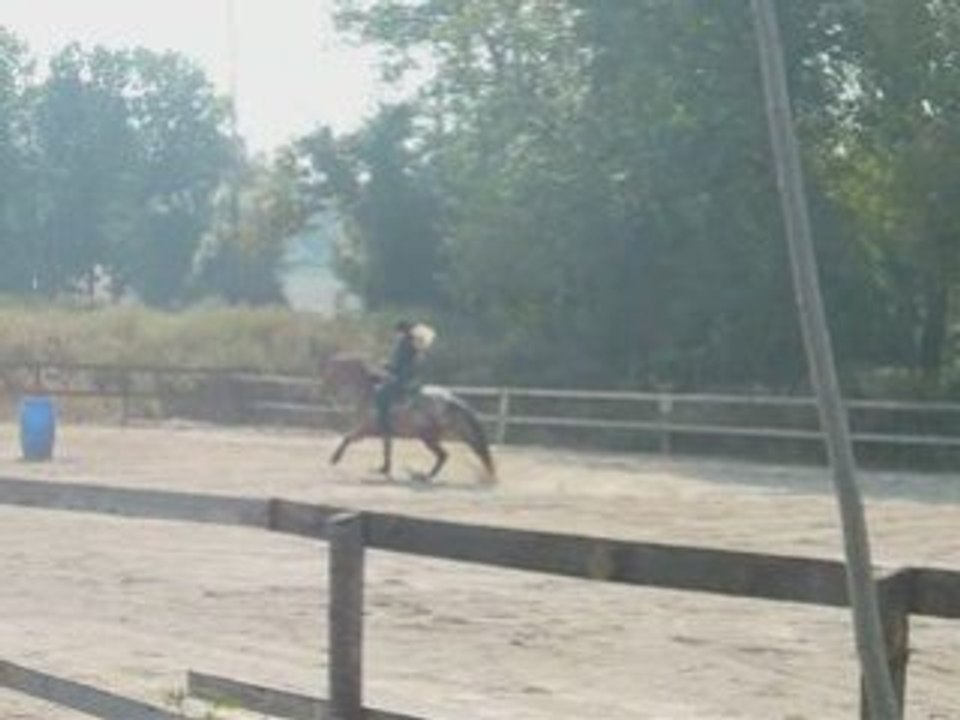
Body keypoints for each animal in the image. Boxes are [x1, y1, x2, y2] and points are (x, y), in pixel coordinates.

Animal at [323, 354, 497, 483]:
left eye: (334, 371)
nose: (326, 387)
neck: (369, 393)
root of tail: (450, 399)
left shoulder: (366, 429)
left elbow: (347, 438)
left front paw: (334, 458)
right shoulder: (382, 432)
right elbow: (386, 449)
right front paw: (384, 469)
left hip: (432, 436)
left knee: (451, 454)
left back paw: (424, 476)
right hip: (437, 435)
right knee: (451, 454)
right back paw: (425, 476)